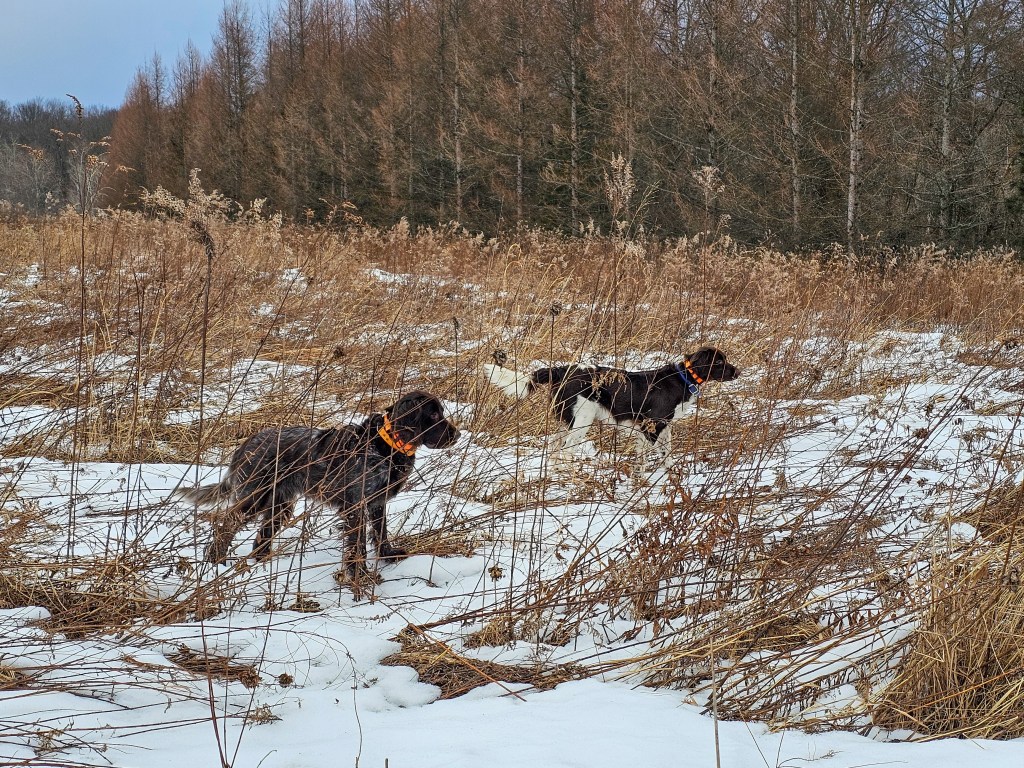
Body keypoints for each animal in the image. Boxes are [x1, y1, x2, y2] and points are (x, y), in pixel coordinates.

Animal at [177, 390, 460, 583]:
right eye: (433, 414)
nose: (456, 435)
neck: (385, 445)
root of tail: (246, 444)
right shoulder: (355, 506)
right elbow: (357, 546)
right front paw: (361, 576)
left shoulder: (376, 503)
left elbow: (381, 534)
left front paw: (389, 557)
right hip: (255, 497)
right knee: (226, 524)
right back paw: (217, 561)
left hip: (279, 504)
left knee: (261, 540)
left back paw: (263, 566)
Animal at [482, 347, 738, 464]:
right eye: (720, 362)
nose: (738, 372)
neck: (682, 378)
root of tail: (564, 370)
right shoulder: (650, 426)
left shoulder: (663, 427)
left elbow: (666, 455)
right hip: (581, 421)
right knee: (566, 449)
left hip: (566, 420)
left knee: (554, 447)